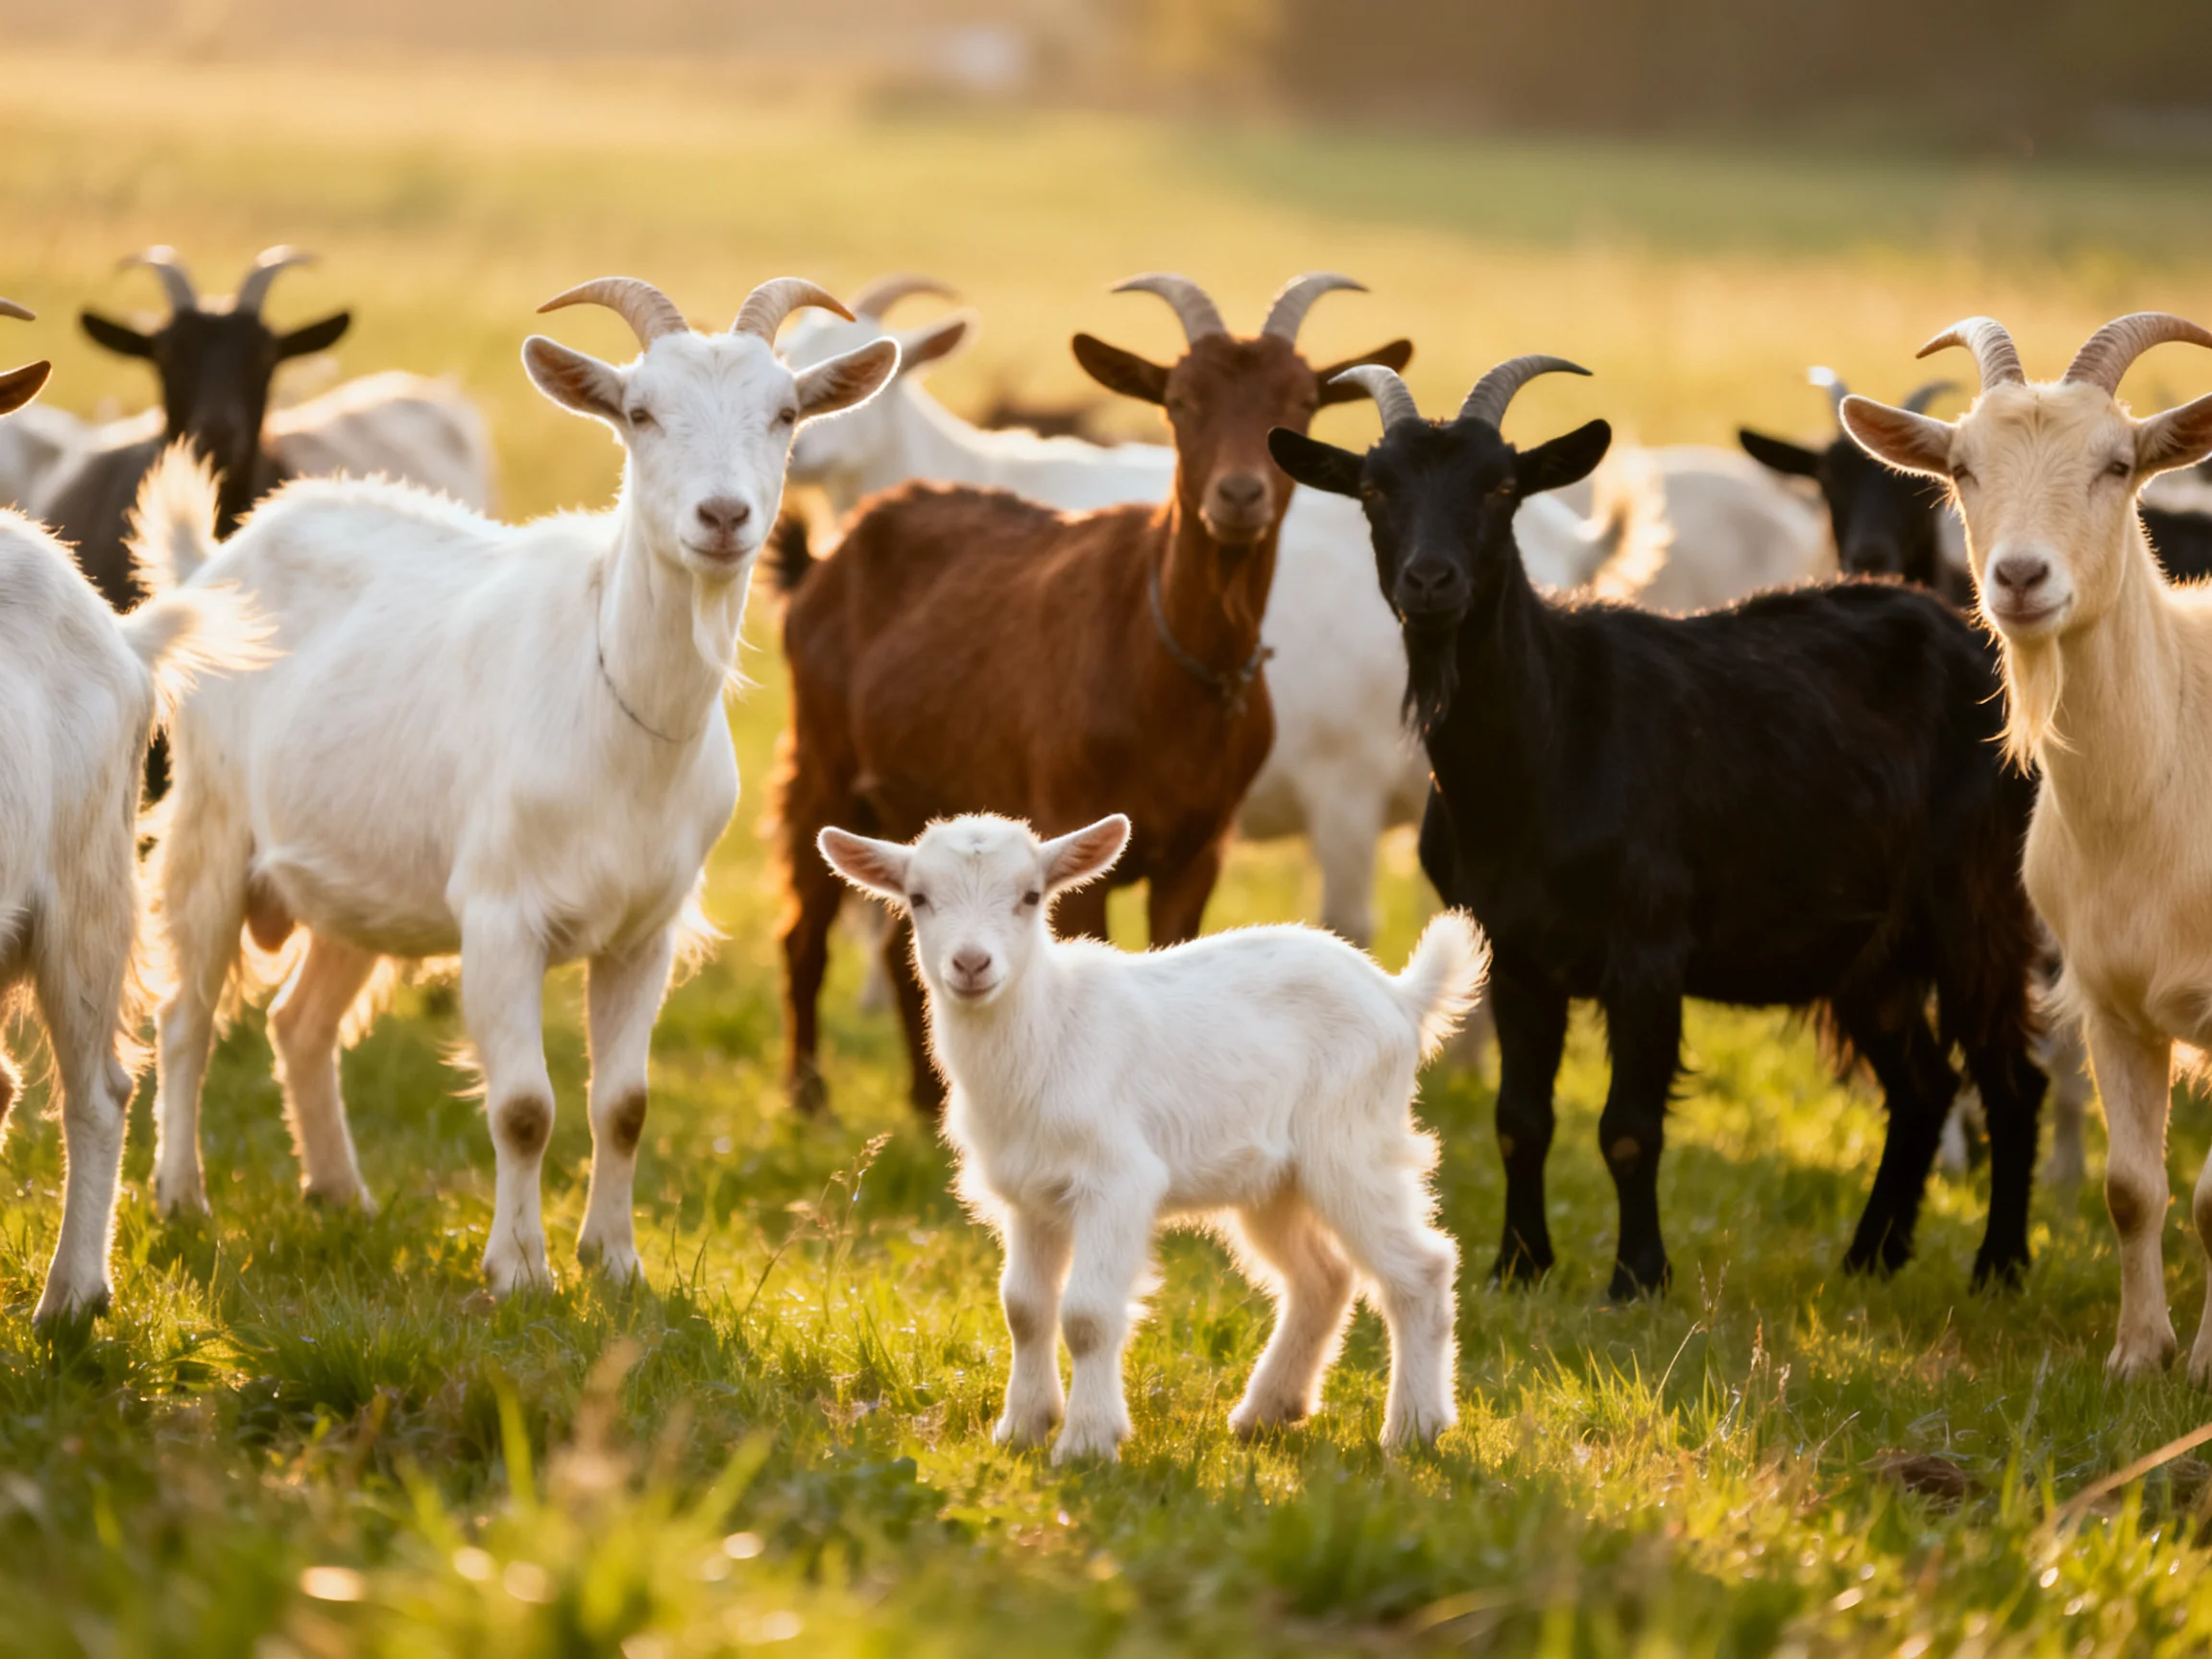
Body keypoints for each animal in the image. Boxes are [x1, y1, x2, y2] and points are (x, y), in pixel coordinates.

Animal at [140, 275, 897, 1293]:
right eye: (640, 412)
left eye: (784, 414)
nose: (723, 517)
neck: (622, 718)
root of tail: (214, 562)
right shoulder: (502, 918)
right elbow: (525, 1107)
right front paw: (519, 1271)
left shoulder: (646, 932)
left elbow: (625, 1104)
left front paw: (615, 1262)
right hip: (211, 826)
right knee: (186, 1015)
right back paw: (182, 1198)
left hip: (363, 877)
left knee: (300, 1023)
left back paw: (341, 1194)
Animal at [775, 272, 1410, 1116]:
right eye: (1180, 400)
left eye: (1301, 403)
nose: (1239, 496)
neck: (1166, 659)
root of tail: (835, 550)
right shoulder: (1069, 830)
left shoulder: (1198, 851)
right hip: (822, 762)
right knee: (804, 932)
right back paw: (809, 1097)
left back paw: (924, 1101)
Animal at [818, 812, 1482, 1460]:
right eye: (919, 897)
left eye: (1031, 896)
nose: (972, 964)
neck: (1048, 1029)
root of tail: (1399, 998)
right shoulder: (1031, 1194)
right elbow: (1025, 1309)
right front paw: (1022, 1429)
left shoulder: (1118, 1182)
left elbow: (1087, 1314)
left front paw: (1087, 1442)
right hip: (1275, 1181)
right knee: (1323, 1277)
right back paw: (1265, 1413)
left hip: (1351, 1142)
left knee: (1420, 1268)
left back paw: (1414, 1428)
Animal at [1271, 355, 2050, 1298]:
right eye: (1375, 489)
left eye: (1501, 486)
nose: (1430, 581)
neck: (1547, 740)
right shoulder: (1516, 952)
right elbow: (1519, 1119)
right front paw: (1519, 1266)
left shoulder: (1647, 947)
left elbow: (1629, 1126)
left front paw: (1637, 1279)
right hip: (1871, 952)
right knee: (1923, 1085)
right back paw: (1869, 1258)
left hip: (1974, 903)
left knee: (2011, 1080)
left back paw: (1998, 1267)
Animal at [1842, 313, 2212, 1381]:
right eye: (1962, 468)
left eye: (2119, 463)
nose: (2018, 576)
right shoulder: (2112, 998)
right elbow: (2133, 1190)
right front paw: (2137, 1357)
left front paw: (2201, 1365)